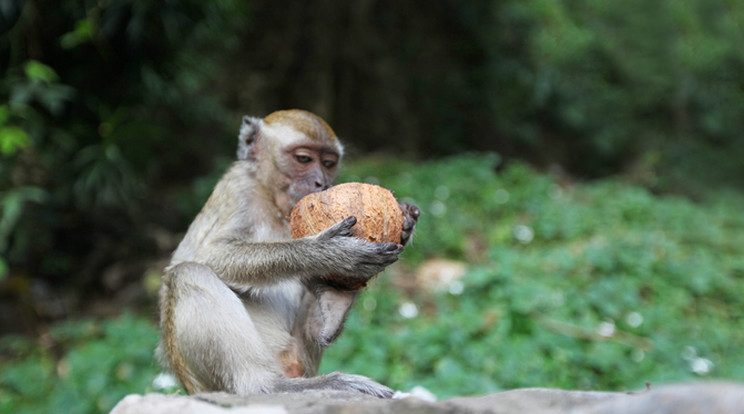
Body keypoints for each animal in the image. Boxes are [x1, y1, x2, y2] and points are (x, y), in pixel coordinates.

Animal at [157, 109, 418, 398]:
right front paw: (328, 252)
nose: (321, 182)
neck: (275, 203)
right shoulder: (239, 187)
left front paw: (406, 222)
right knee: (189, 273)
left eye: (328, 163)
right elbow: (209, 255)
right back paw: (269, 386)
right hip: (207, 384)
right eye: (303, 159)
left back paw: (334, 303)